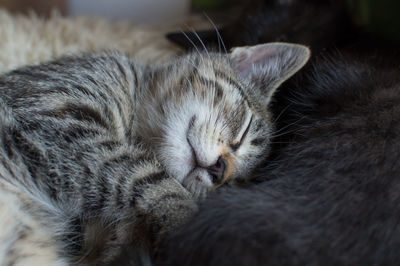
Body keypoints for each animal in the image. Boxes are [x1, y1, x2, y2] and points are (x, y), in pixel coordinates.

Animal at [0, 42, 310, 264]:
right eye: (243, 131)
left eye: (230, 186)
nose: (220, 170)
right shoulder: (56, 122)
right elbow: (151, 179)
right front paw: (185, 228)